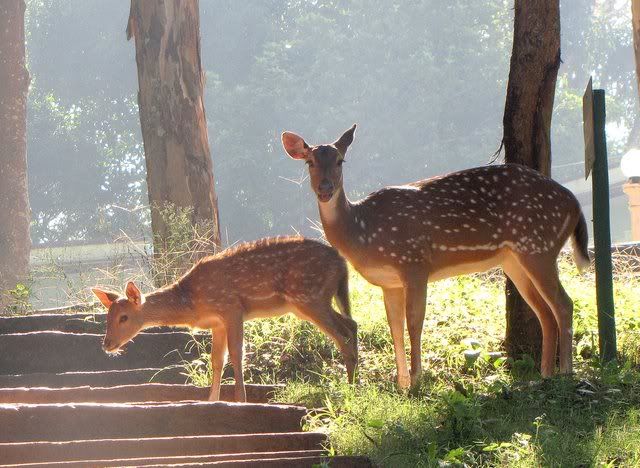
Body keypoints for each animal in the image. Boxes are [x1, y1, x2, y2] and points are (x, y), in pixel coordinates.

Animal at [92, 238, 358, 402]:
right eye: (107, 317)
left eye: (124, 317)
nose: (107, 344)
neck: (193, 302)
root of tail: (342, 262)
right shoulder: (217, 323)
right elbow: (216, 360)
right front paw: (212, 400)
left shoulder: (231, 308)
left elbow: (237, 354)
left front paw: (240, 400)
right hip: (310, 302)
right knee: (352, 324)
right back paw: (357, 381)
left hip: (310, 296)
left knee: (343, 334)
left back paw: (351, 387)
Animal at [282, 123, 592, 388]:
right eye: (309, 162)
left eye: (340, 161)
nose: (325, 189)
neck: (363, 230)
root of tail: (574, 204)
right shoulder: (388, 282)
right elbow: (394, 327)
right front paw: (401, 384)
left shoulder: (414, 263)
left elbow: (414, 323)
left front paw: (416, 381)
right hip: (516, 260)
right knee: (545, 312)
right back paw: (545, 375)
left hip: (539, 246)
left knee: (564, 303)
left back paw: (566, 372)